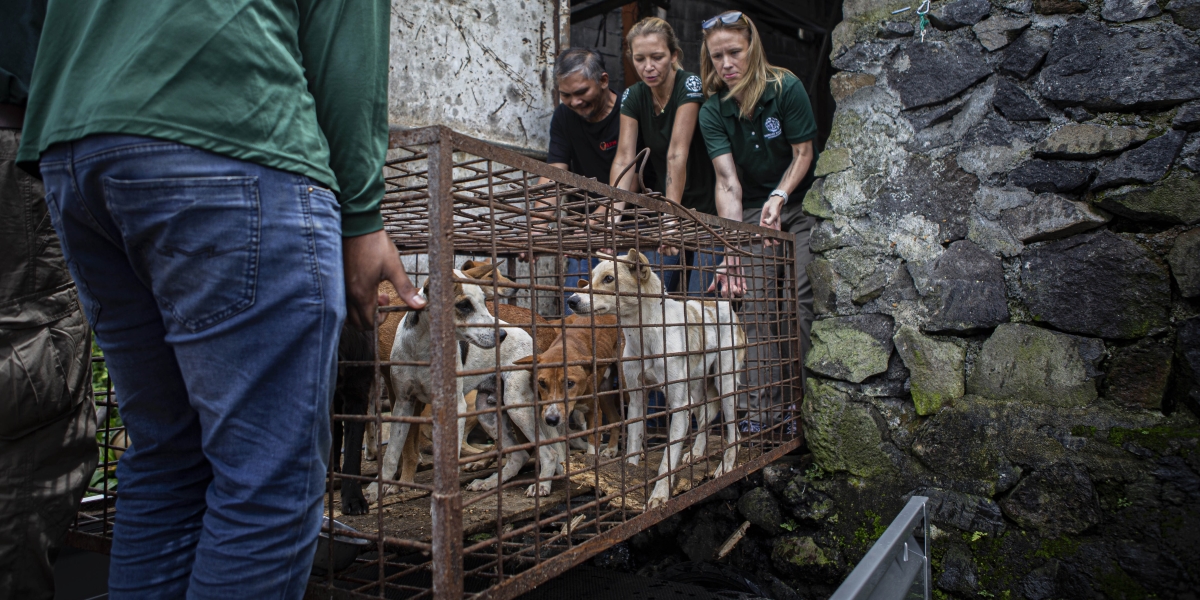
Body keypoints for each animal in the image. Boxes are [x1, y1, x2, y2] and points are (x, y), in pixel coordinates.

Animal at [364, 265, 535, 504]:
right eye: (464, 305)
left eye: (485, 301)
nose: (502, 334)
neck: (424, 348)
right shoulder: (404, 403)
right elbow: (392, 453)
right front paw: (376, 489)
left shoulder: (456, 407)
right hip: (486, 408)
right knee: (519, 455)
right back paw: (488, 482)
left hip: (515, 404)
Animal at [561, 250, 739, 508]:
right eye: (590, 278)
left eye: (609, 279)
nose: (572, 300)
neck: (645, 332)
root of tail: (722, 304)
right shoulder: (636, 400)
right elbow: (633, 446)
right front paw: (630, 480)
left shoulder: (679, 406)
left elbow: (667, 460)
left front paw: (659, 496)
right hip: (696, 389)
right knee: (707, 417)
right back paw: (696, 452)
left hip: (725, 386)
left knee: (735, 432)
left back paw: (726, 466)